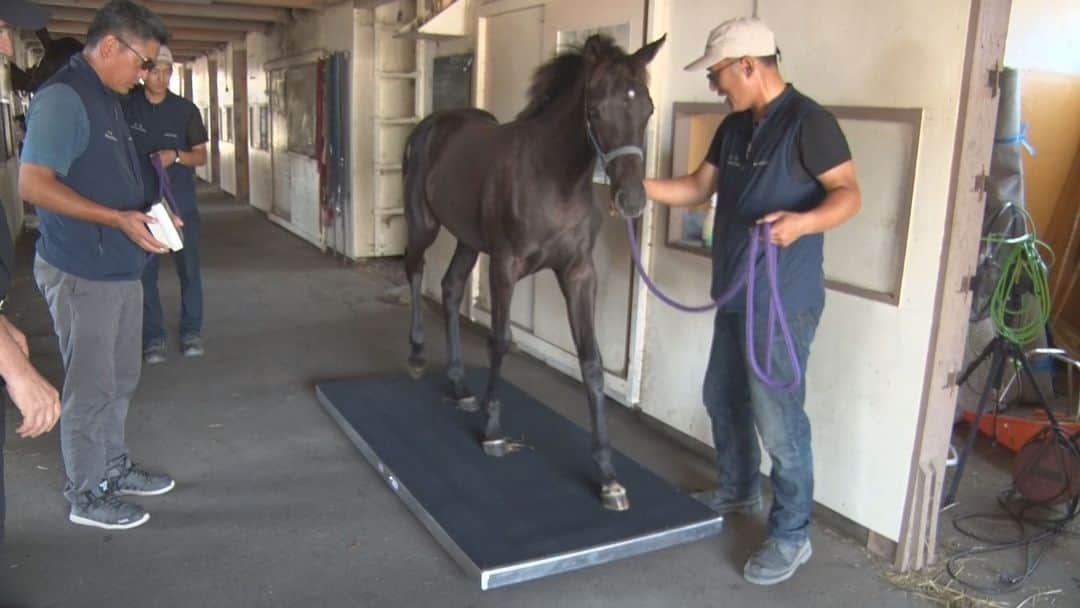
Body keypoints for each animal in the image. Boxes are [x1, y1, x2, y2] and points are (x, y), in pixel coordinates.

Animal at [406, 33, 665, 509]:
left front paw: (607, 475)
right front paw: (492, 432)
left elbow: (591, 361)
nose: (632, 200)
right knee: (414, 270)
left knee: (450, 288)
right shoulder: (504, 267)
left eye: (648, 108)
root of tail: (433, 125)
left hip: (468, 240)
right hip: (424, 224)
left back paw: (459, 385)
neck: (552, 177)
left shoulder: (579, 273)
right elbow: (501, 339)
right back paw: (416, 356)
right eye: (596, 109)